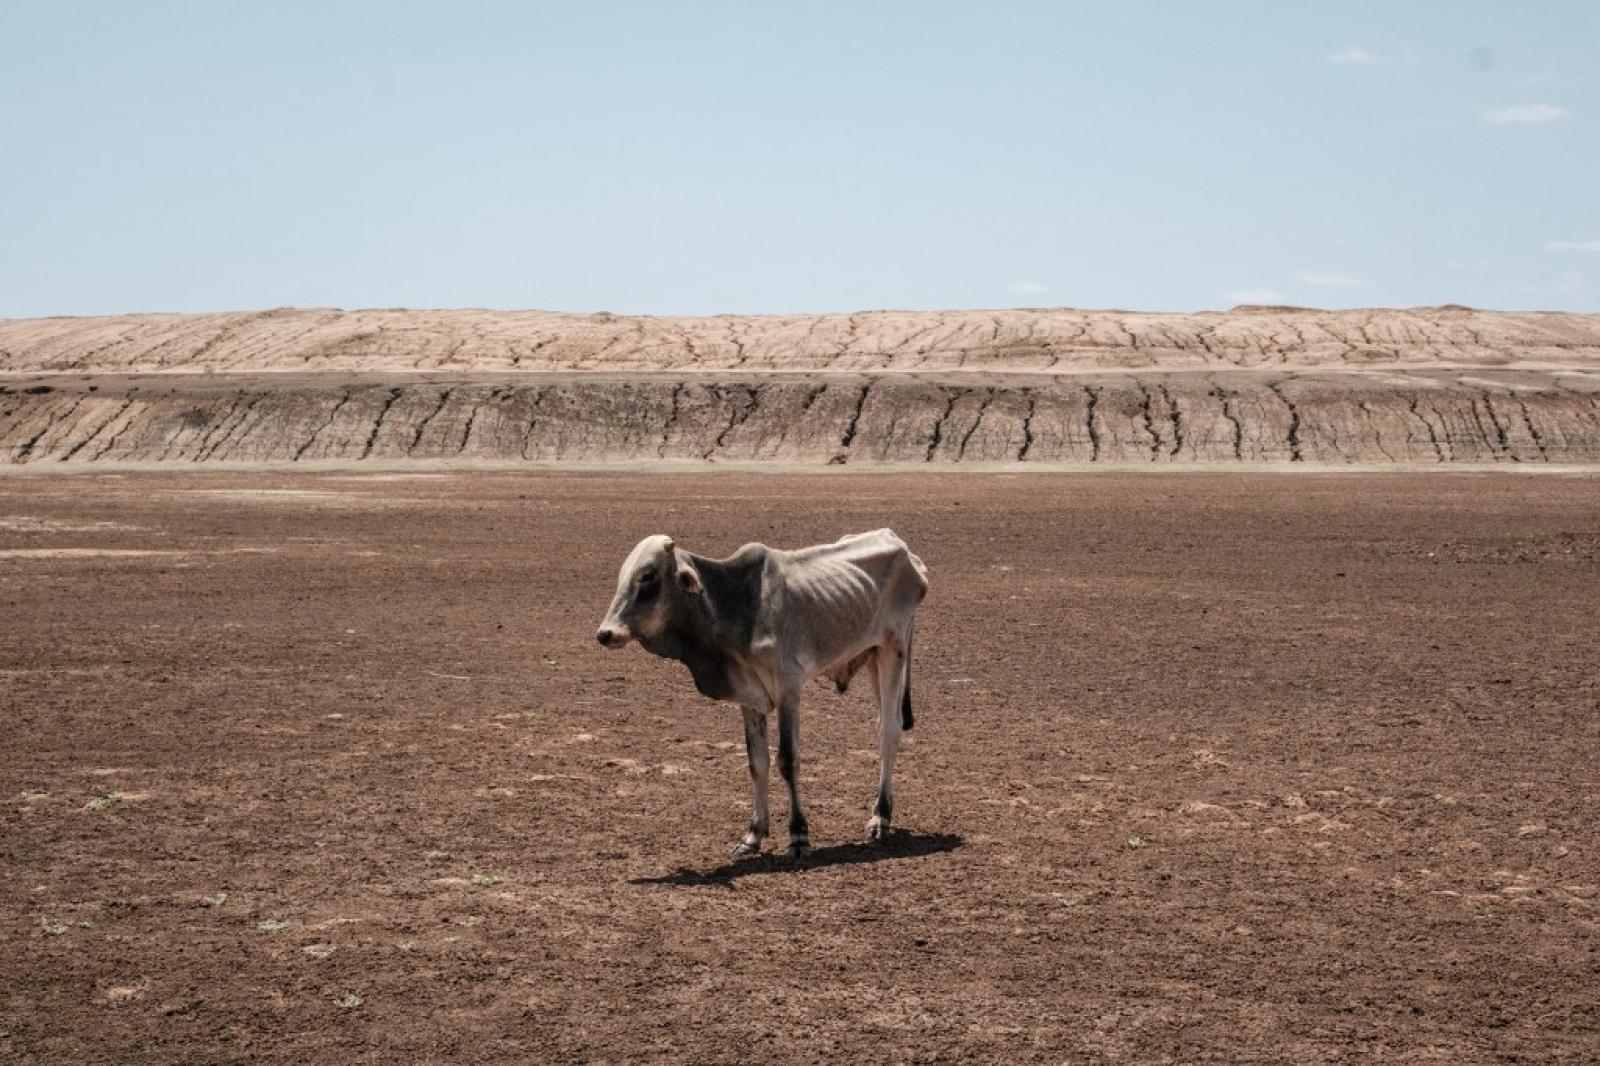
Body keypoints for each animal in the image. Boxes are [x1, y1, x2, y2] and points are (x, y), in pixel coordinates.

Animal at [598, 528, 928, 857]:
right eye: (624, 575)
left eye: (647, 575)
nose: (605, 634)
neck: (734, 605)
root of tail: (905, 550)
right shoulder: (749, 698)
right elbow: (757, 763)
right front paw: (753, 834)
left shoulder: (788, 690)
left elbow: (787, 760)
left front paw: (798, 835)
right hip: (873, 655)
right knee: (884, 723)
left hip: (893, 650)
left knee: (889, 729)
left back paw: (881, 816)